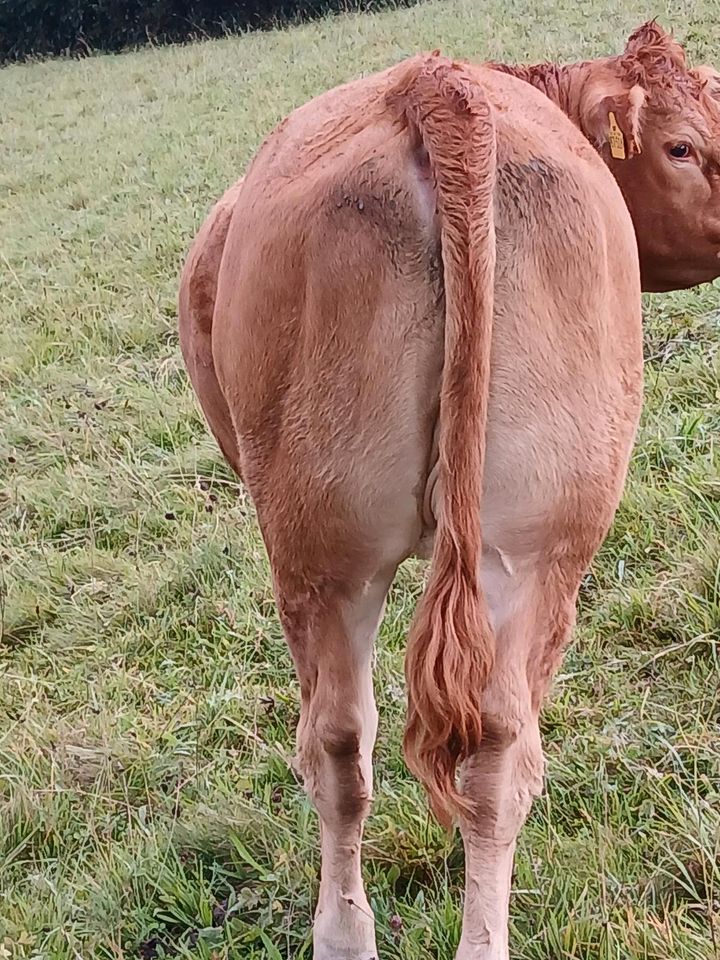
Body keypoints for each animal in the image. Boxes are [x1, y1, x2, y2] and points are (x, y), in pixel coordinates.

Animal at [181, 45, 648, 960]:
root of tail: (438, 85)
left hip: (323, 553)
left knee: (338, 743)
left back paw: (342, 935)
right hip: (540, 546)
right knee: (499, 749)